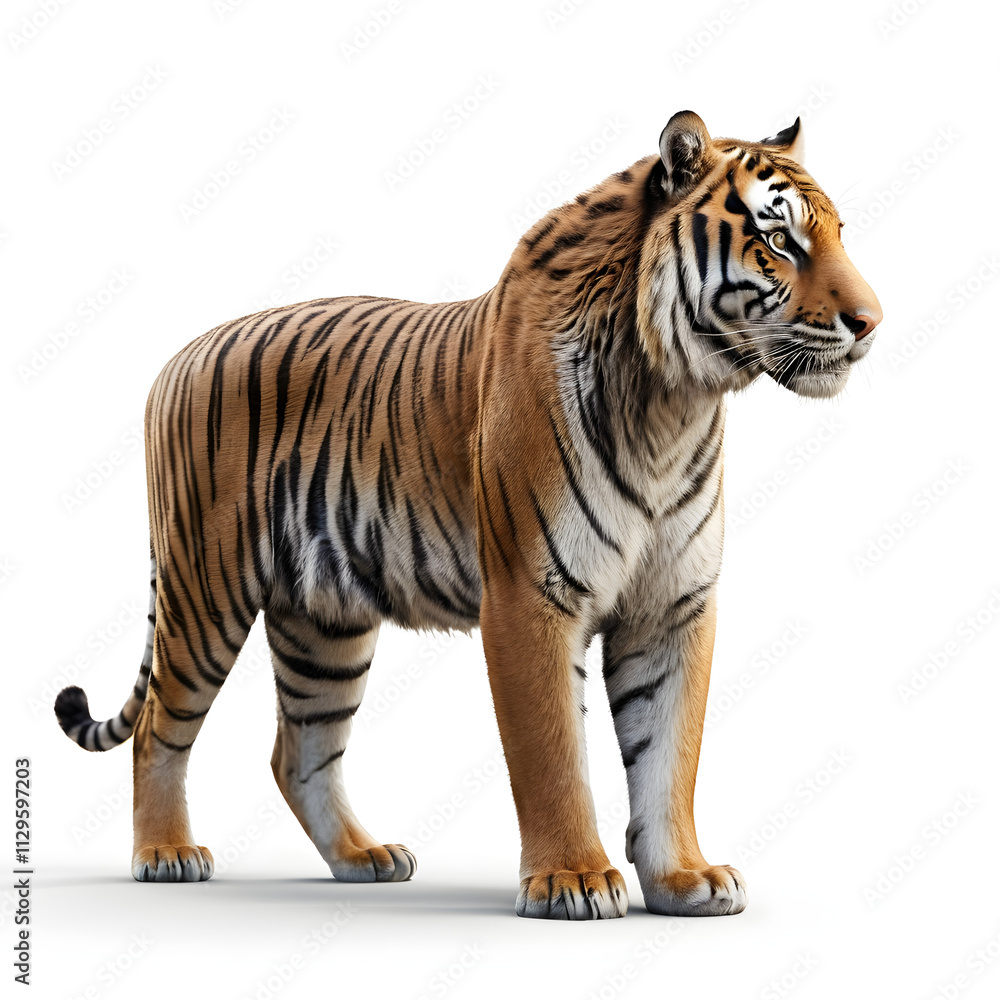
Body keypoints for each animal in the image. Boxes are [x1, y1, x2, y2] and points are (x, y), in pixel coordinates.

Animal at [55, 111, 881, 920]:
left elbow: (669, 755)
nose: (871, 321)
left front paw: (685, 878)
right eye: (779, 240)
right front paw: (574, 879)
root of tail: (180, 356)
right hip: (205, 589)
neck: (674, 403)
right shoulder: (530, 596)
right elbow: (551, 753)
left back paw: (363, 858)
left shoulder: (673, 604)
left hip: (324, 623)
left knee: (299, 751)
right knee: (159, 729)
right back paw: (166, 855)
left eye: (838, 234)